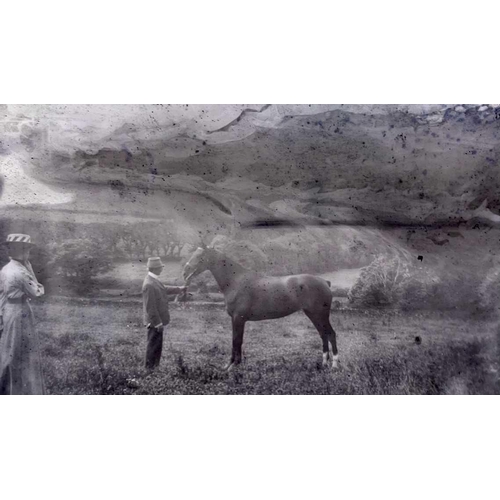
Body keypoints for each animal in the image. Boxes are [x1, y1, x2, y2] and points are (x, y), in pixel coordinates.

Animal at [182, 244, 338, 370]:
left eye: (200, 256)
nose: (185, 271)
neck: (236, 280)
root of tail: (324, 282)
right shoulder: (235, 319)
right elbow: (235, 340)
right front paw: (229, 365)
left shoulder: (239, 318)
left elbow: (237, 340)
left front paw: (233, 366)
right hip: (313, 314)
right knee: (323, 335)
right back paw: (324, 364)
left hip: (320, 315)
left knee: (331, 334)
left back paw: (334, 365)